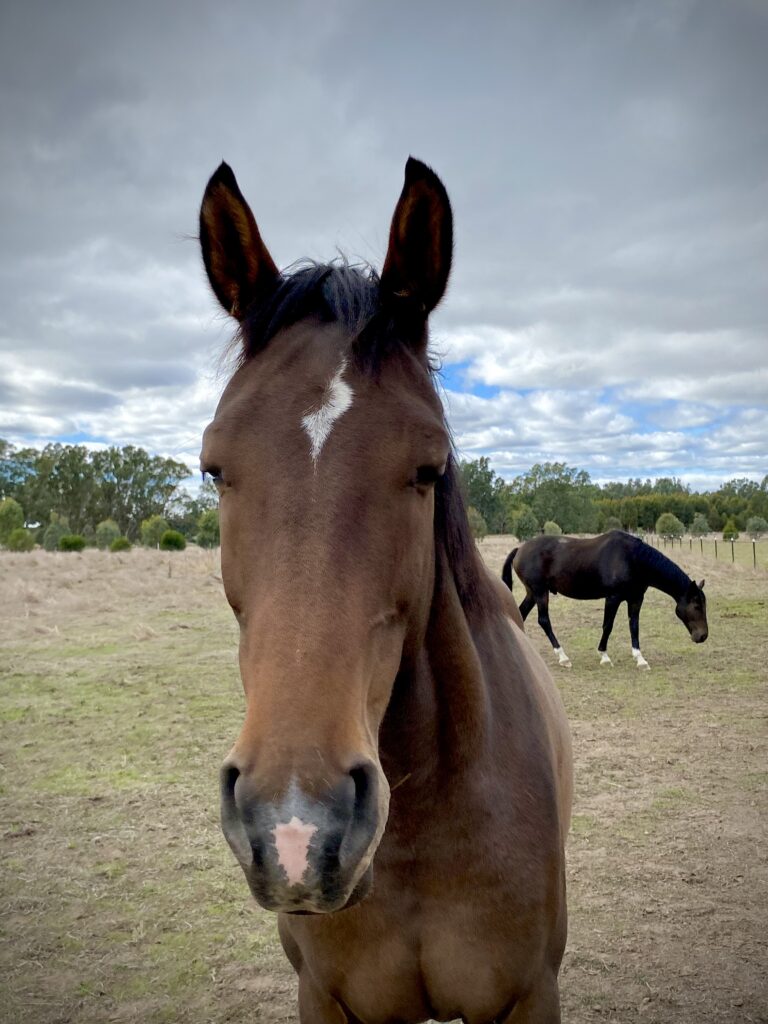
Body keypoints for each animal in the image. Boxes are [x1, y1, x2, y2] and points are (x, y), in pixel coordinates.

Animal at [505, 528, 708, 671]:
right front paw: (604, 656)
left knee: (520, 613)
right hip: (540, 592)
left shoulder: (636, 599)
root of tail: (520, 549)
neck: (632, 558)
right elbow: (608, 625)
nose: (703, 636)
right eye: (696, 605)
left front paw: (640, 659)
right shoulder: (613, 598)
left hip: (532, 593)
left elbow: (634, 626)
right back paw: (563, 657)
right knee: (544, 620)